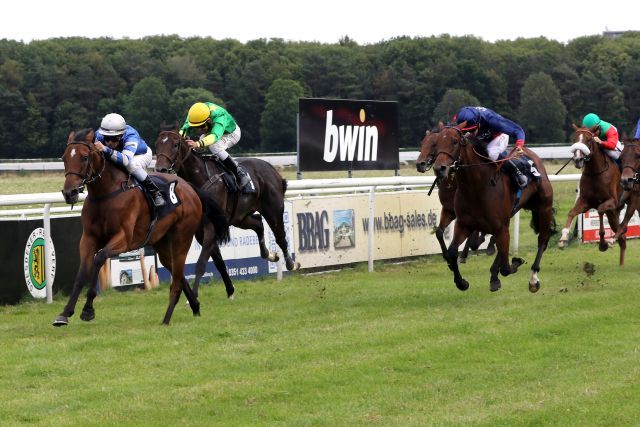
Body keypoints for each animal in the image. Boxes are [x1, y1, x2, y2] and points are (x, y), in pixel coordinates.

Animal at [56, 129, 229, 326]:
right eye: (64, 157)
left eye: (84, 157)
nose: (69, 193)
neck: (106, 193)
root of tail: (190, 188)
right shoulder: (88, 238)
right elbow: (81, 273)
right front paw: (64, 313)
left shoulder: (124, 239)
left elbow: (99, 258)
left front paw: (87, 310)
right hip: (162, 243)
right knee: (178, 274)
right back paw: (195, 306)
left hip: (182, 238)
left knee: (177, 280)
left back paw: (166, 320)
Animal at [154, 130, 298, 298]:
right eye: (157, 144)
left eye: (175, 144)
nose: (160, 170)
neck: (200, 177)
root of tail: (273, 170)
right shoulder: (201, 231)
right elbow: (218, 262)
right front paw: (230, 291)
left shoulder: (212, 228)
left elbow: (202, 262)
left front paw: (194, 296)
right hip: (240, 217)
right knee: (258, 223)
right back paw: (270, 255)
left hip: (273, 210)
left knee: (280, 237)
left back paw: (291, 263)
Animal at [418, 130, 498, 264]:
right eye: (422, 142)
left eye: (434, 144)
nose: (420, 164)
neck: (452, 184)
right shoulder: (449, 209)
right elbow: (439, 231)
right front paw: (448, 256)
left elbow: (472, 235)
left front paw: (466, 252)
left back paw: (490, 246)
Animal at [430, 122, 556, 292]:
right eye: (436, 143)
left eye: (455, 141)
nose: (439, 168)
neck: (476, 188)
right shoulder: (464, 223)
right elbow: (452, 252)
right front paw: (461, 282)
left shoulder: (499, 226)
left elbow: (506, 267)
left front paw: (516, 262)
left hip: (544, 208)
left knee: (542, 239)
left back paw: (533, 278)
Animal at [556, 124, 628, 264]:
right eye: (574, 139)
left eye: (589, 139)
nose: (578, 159)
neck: (596, 172)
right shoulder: (585, 201)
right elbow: (571, 212)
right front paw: (563, 238)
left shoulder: (612, 201)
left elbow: (600, 210)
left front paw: (602, 244)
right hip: (613, 215)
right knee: (621, 236)